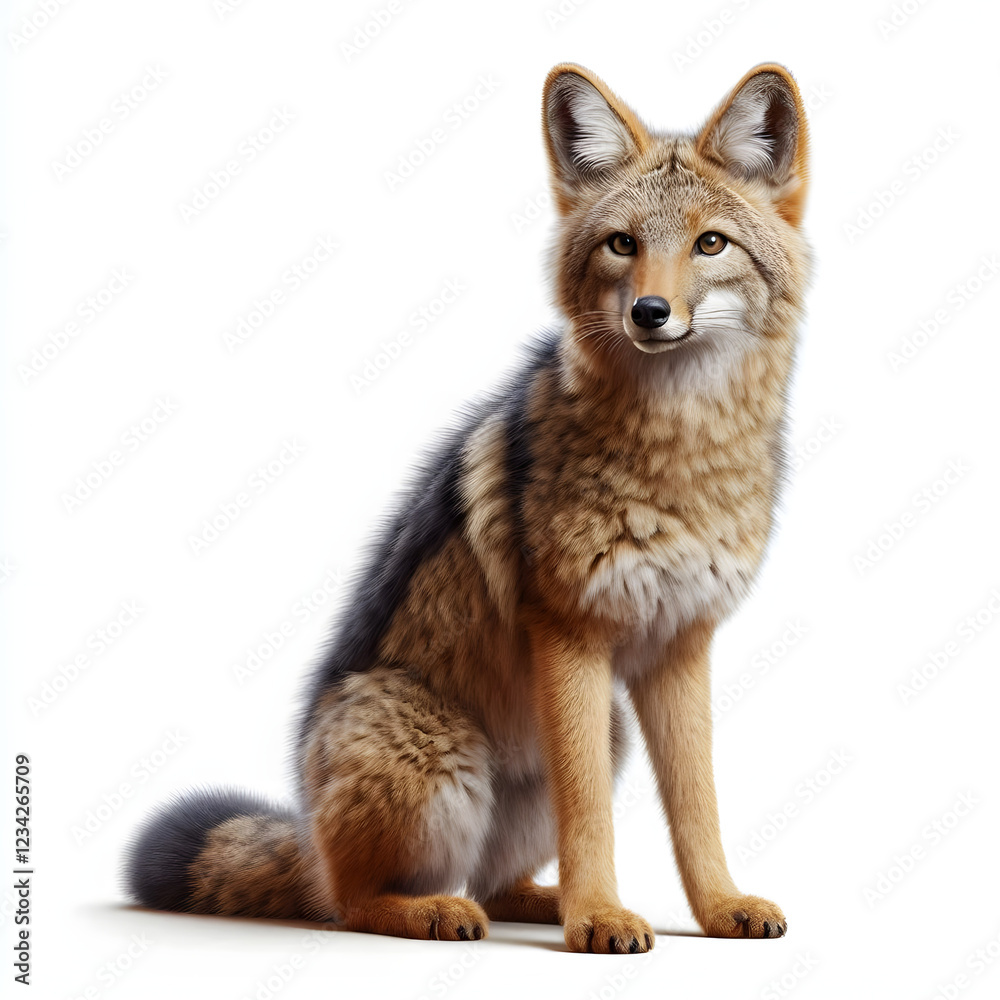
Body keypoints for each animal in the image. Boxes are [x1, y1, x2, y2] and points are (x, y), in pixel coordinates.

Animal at [124, 61, 811, 954]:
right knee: (350, 902)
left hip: (588, 740)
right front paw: (600, 920)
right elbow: (591, 814)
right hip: (440, 751)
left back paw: (541, 901)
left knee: (492, 878)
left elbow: (698, 805)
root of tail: (307, 828)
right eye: (623, 245)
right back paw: (440, 911)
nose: (650, 314)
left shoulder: (680, 645)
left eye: (711, 244)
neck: (681, 454)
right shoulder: (572, 635)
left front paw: (716, 907)